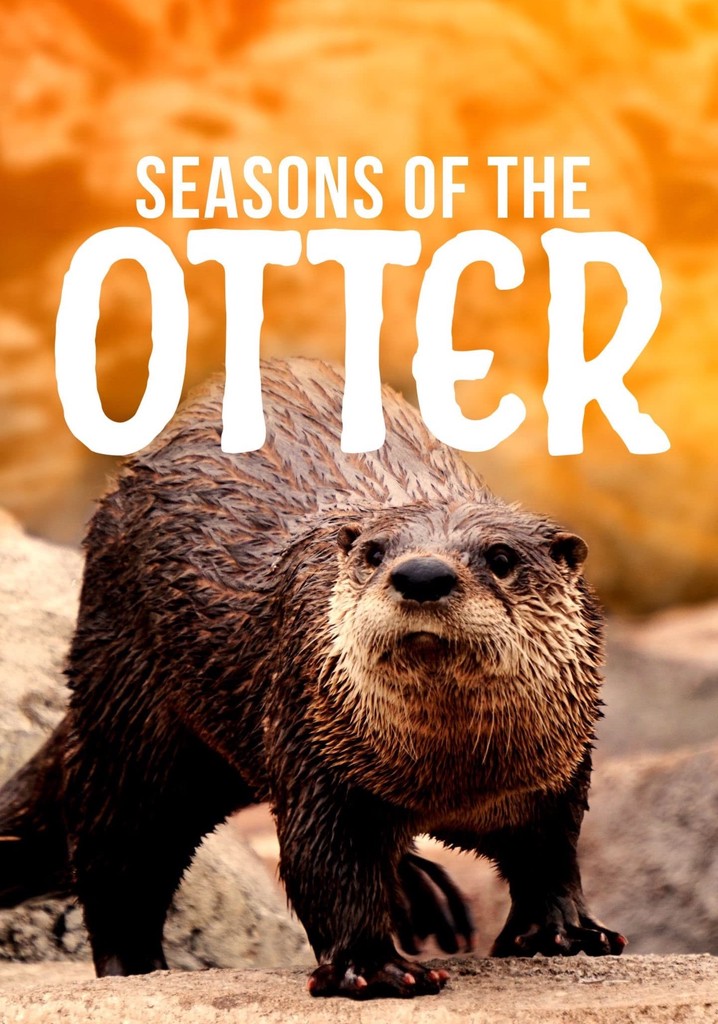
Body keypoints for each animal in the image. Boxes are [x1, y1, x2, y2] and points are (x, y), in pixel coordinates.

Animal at [0, 358, 624, 998]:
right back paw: (134, 966)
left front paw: (566, 932)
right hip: (132, 708)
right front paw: (374, 967)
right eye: (373, 553)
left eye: (501, 558)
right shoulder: (318, 754)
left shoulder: (558, 772)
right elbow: (327, 867)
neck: (452, 778)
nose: (421, 574)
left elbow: (550, 852)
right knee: (118, 844)